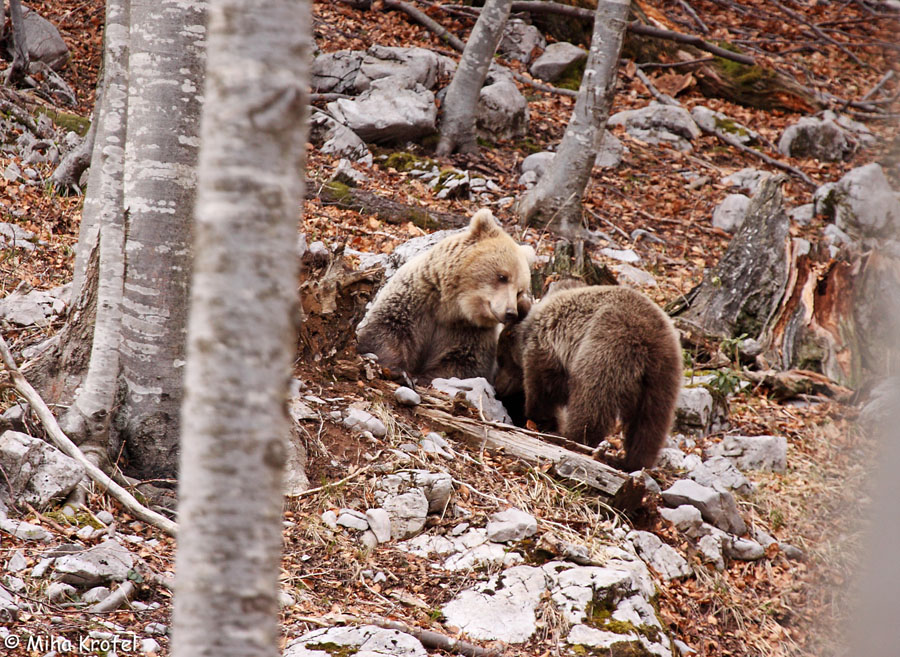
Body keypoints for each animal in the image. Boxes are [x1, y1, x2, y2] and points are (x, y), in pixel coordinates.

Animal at [354, 210, 536, 382]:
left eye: (520, 291)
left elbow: (463, 362)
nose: (510, 313)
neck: (451, 308)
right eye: (502, 276)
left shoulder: (470, 331)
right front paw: (400, 372)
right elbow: (386, 330)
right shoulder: (414, 300)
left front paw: (421, 378)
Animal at [492, 278, 684, 472]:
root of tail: (648, 344)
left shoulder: (547, 350)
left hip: (605, 352)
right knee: (651, 422)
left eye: (500, 358)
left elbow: (542, 389)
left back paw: (573, 438)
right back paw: (633, 461)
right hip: (663, 375)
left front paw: (536, 418)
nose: (497, 387)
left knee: (591, 403)